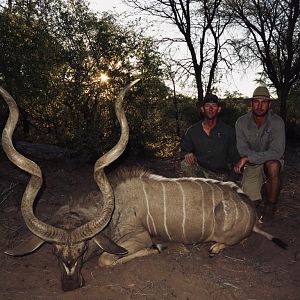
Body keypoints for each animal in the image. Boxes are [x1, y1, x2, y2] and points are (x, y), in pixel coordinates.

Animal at [0, 82, 286, 290]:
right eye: (54, 251)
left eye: (83, 249)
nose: (71, 285)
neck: (115, 209)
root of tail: (249, 210)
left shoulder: (136, 238)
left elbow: (108, 258)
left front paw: (158, 247)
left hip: (228, 234)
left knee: (231, 241)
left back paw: (214, 248)